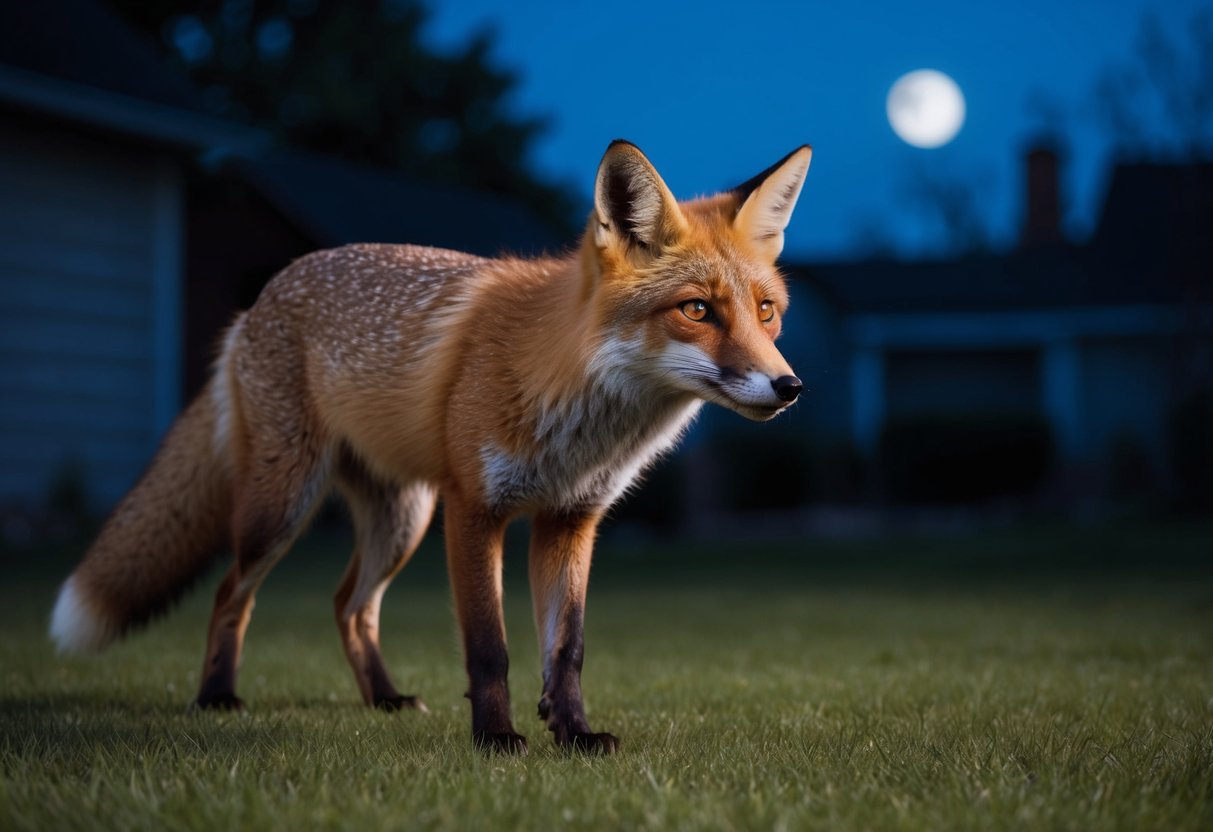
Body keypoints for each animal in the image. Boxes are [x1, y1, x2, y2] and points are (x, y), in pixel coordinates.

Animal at [49, 140, 811, 754]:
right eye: (696, 310)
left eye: (766, 311)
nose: (789, 386)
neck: (576, 405)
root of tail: (258, 300)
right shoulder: (474, 509)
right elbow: (489, 650)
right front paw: (496, 739)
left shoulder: (570, 519)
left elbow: (565, 651)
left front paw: (573, 735)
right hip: (284, 507)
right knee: (231, 593)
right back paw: (217, 696)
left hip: (400, 519)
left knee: (348, 605)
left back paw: (383, 698)